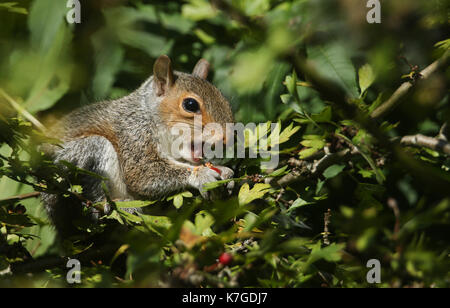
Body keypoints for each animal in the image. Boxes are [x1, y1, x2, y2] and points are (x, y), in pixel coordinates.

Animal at [41, 55, 236, 235]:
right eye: (190, 104)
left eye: (225, 100)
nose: (228, 137)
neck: (148, 114)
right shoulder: (134, 135)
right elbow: (143, 174)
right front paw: (202, 174)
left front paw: (222, 170)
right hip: (77, 163)